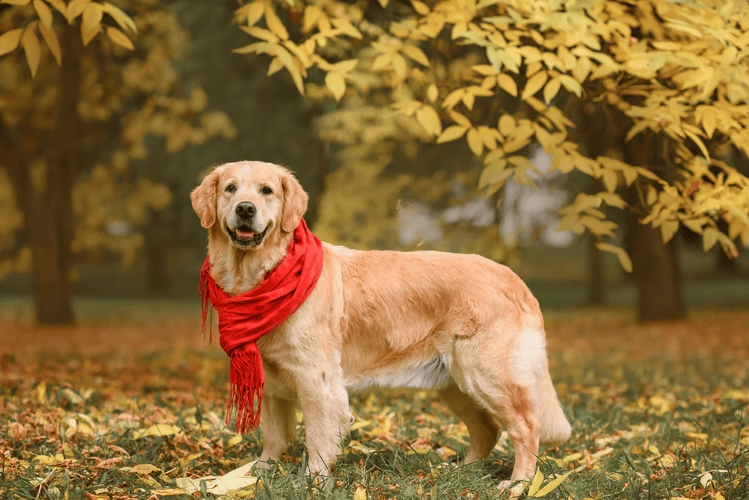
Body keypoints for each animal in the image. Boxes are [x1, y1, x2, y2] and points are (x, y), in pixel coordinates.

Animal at [190, 161, 568, 492]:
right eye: (230, 188)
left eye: (266, 190)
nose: (245, 209)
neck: (266, 273)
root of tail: (512, 277)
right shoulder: (271, 380)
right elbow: (273, 436)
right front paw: (258, 475)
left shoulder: (316, 378)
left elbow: (318, 436)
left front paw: (314, 482)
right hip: (455, 383)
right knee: (488, 430)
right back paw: (460, 472)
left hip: (486, 374)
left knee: (526, 427)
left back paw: (518, 484)